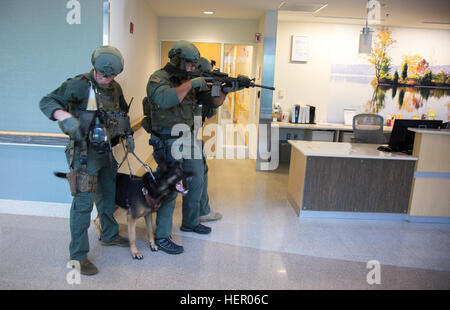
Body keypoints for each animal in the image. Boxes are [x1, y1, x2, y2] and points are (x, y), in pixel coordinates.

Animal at [55, 162, 192, 260]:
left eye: (181, 168)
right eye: (178, 171)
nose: (192, 173)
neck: (151, 187)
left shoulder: (148, 215)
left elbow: (150, 231)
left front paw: (153, 244)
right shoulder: (131, 217)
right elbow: (133, 237)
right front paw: (135, 252)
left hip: (112, 205)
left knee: (98, 219)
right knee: (97, 219)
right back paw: (101, 235)